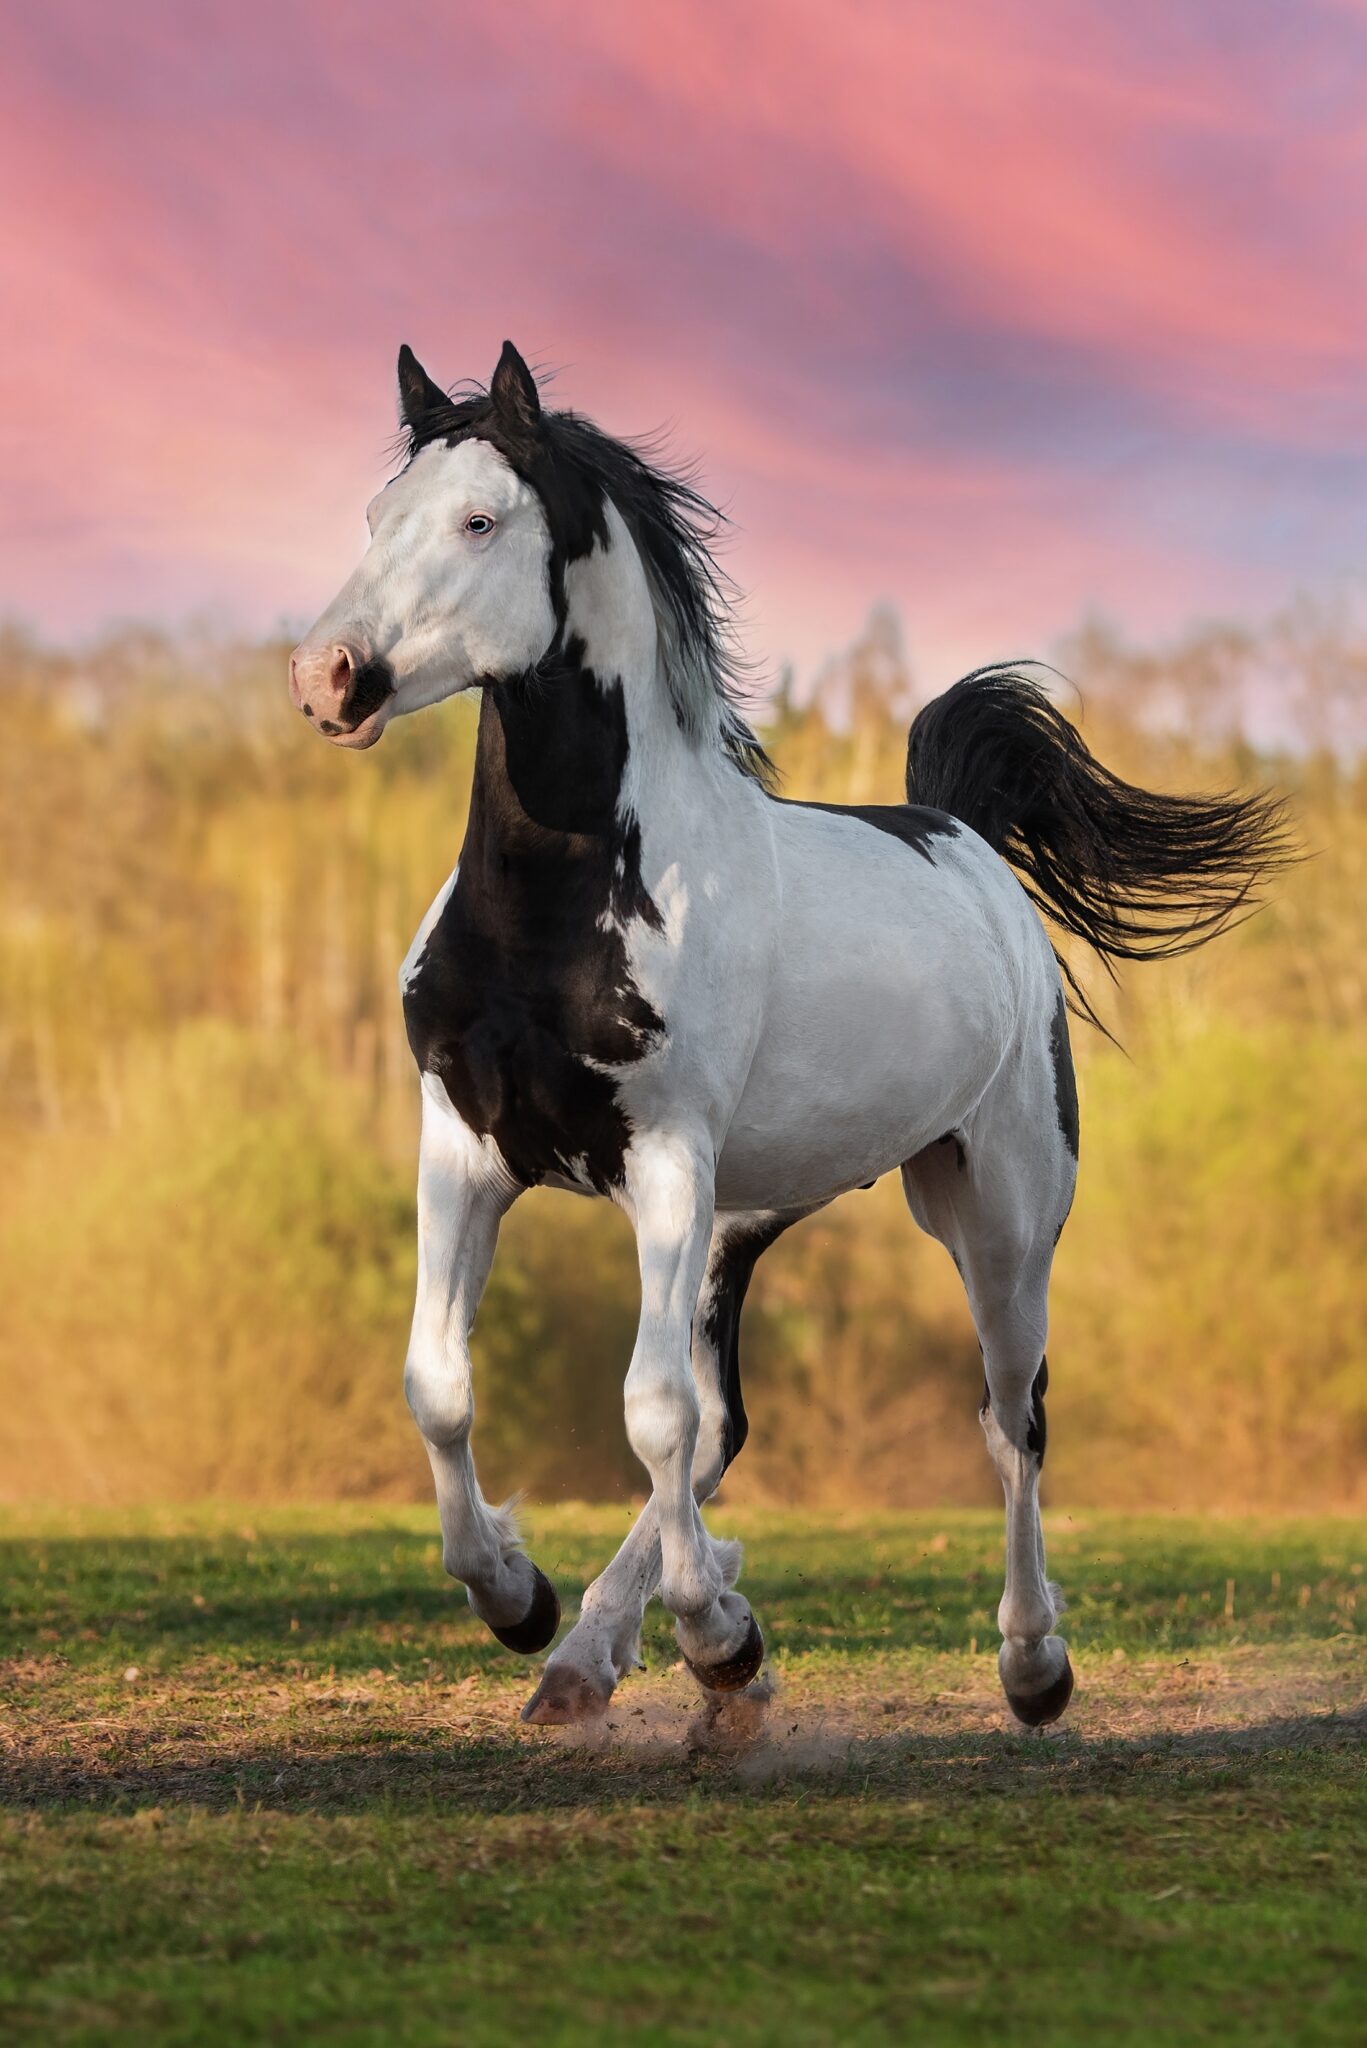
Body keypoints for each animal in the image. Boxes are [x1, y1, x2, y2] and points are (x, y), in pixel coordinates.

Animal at [289, 340, 1287, 1728]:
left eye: (480, 520)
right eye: (377, 515)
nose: (325, 677)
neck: (559, 909)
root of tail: (964, 840)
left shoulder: (664, 1157)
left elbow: (647, 1410)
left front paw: (710, 1634)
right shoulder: (465, 1144)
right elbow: (439, 1384)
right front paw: (520, 1598)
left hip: (994, 1210)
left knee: (1009, 1414)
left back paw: (1027, 1664)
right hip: (740, 1223)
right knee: (727, 1424)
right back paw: (590, 1654)